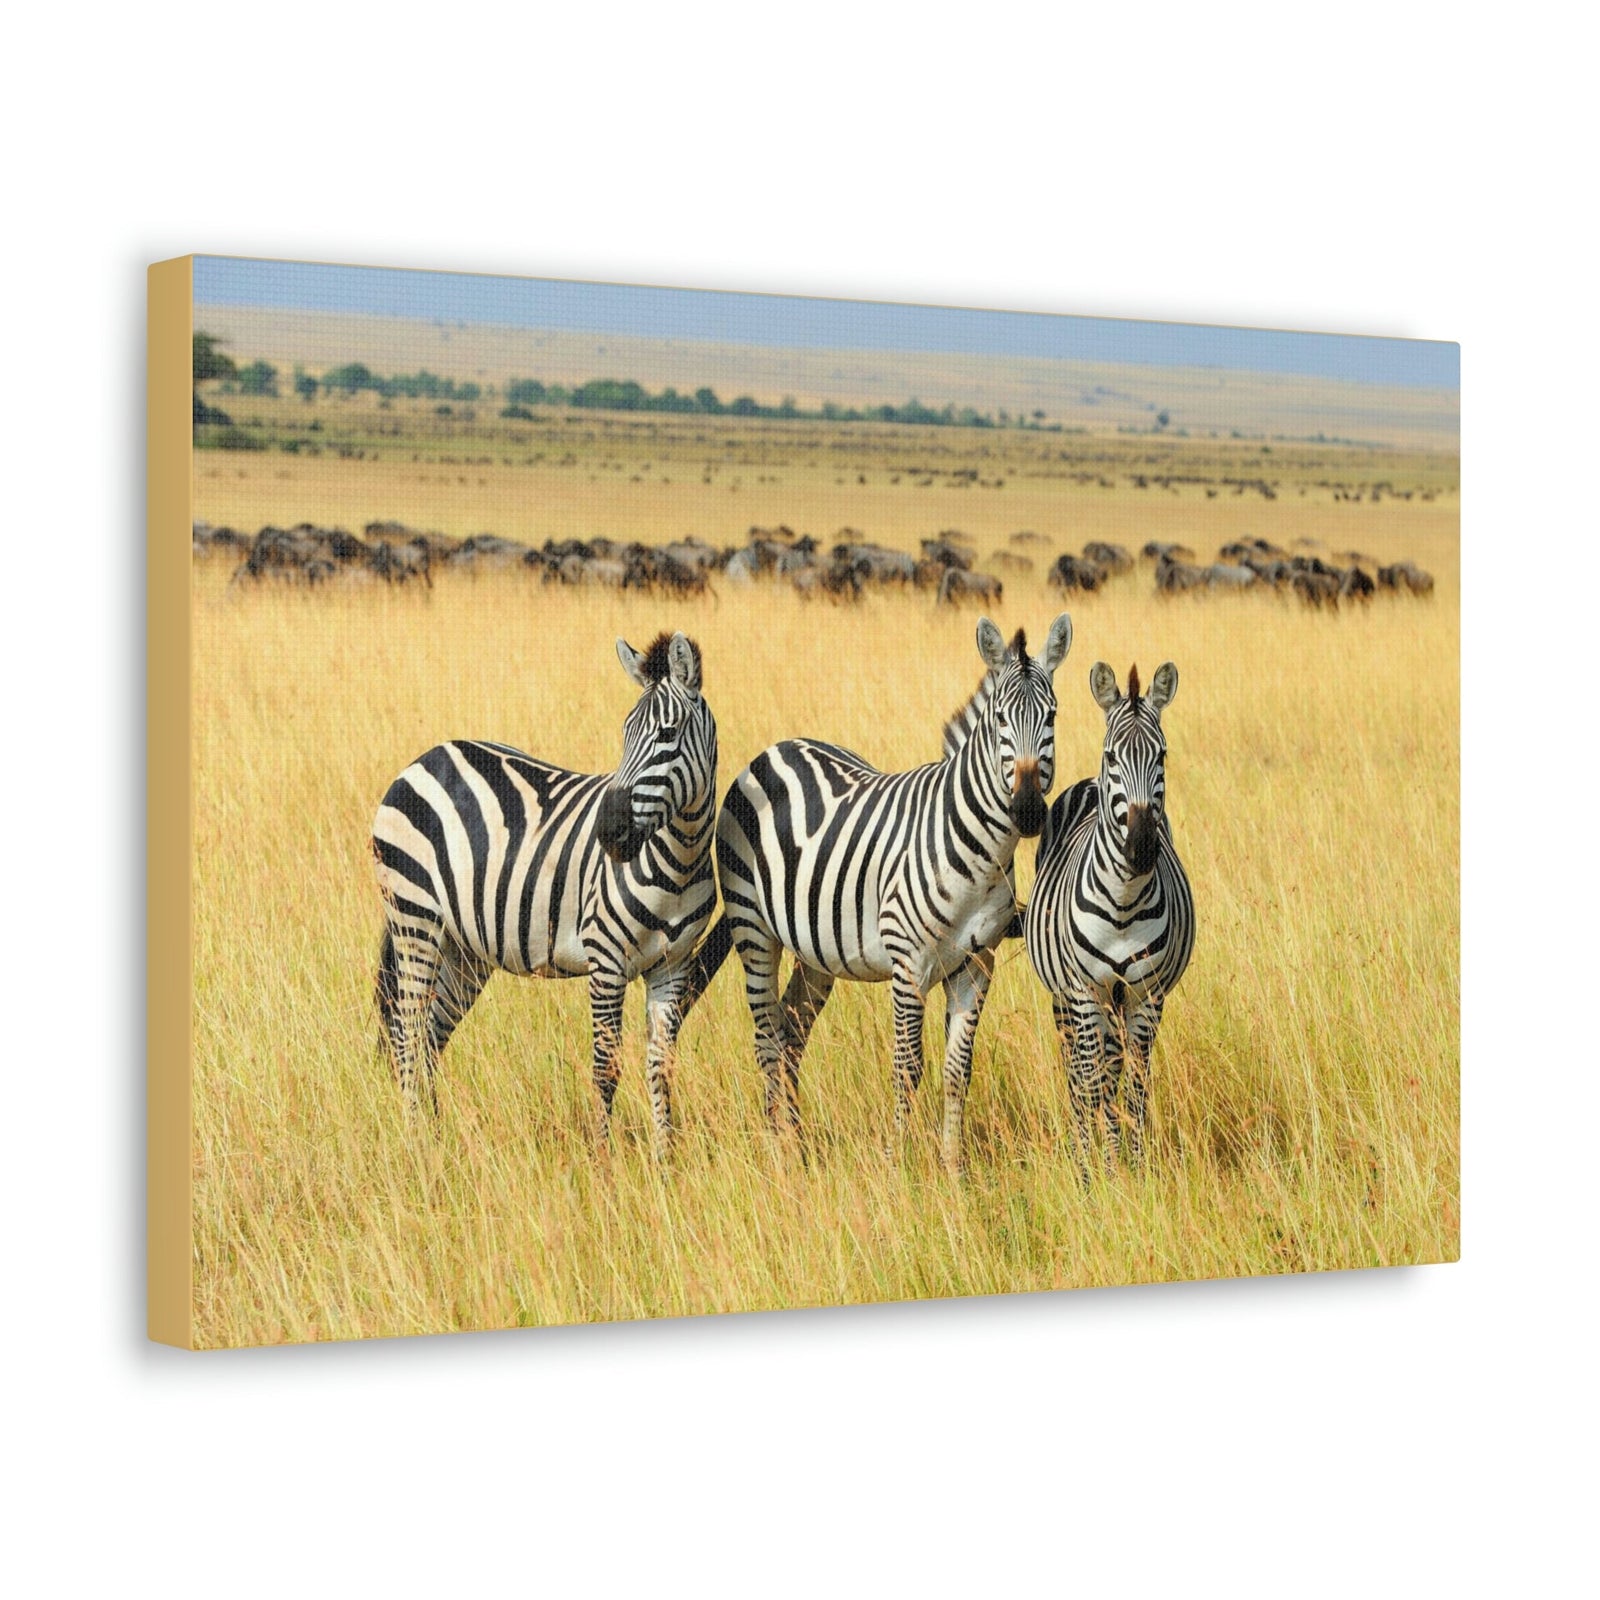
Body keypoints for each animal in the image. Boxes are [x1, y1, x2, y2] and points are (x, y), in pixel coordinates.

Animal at [371, 631, 717, 1151]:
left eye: (668, 734)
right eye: (624, 734)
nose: (609, 832)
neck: (678, 862)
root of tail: (425, 758)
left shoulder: (671, 966)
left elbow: (661, 1067)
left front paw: (665, 1159)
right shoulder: (606, 960)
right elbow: (605, 1069)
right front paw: (603, 1159)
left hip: (464, 949)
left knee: (430, 1037)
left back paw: (436, 1140)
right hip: (415, 919)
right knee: (408, 1034)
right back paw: (416, 1144)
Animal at [693, 614, 1073, 1172]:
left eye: (1051, 717)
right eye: (999, 720)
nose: (1026, 809)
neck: (980, 853)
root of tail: (778, 747)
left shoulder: (976, 966)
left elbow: (958, 1070)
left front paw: (952, 1169)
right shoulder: (908, 964)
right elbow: (907, 1066)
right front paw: (898, 1165)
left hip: (816, 949)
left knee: (790, 1032)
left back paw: (796, 1143)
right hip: (754, 928)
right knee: (766, 1036)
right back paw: (777, 1151)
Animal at [1024, 661, 1194, 1179]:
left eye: (1162, 755)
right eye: (1112, 756)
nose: (1140, 849)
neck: (1122, 904)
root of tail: (1086, 782)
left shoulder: (1147, 995)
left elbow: (1135, 1086)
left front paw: (1132, 1168)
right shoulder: (1084, 991)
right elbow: (1091, 1080)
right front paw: (1091, 1171)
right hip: (1066, 998)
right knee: (1078, 1072)